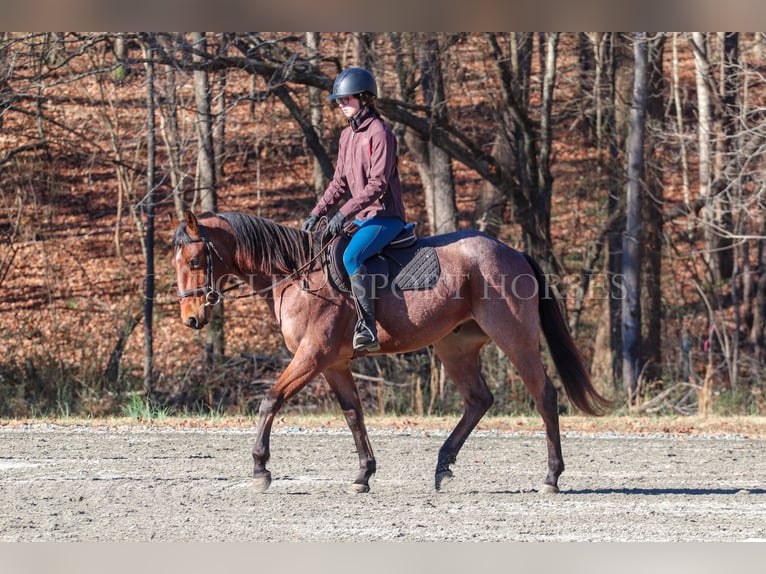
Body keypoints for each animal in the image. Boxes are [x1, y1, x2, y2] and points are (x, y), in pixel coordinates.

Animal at [174, 210, 612, 496]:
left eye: (195, 261)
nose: (191, 318)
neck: (298, 275)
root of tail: (513, 252)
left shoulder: (312, 357)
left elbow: (270, 399)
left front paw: (260, 468)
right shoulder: (333, 364)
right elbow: (353, 414)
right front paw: (363, 475)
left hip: (515, 340)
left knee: (544, 396)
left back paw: (551, 477)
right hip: (454, 347)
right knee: (478, 399)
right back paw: (442, 467)